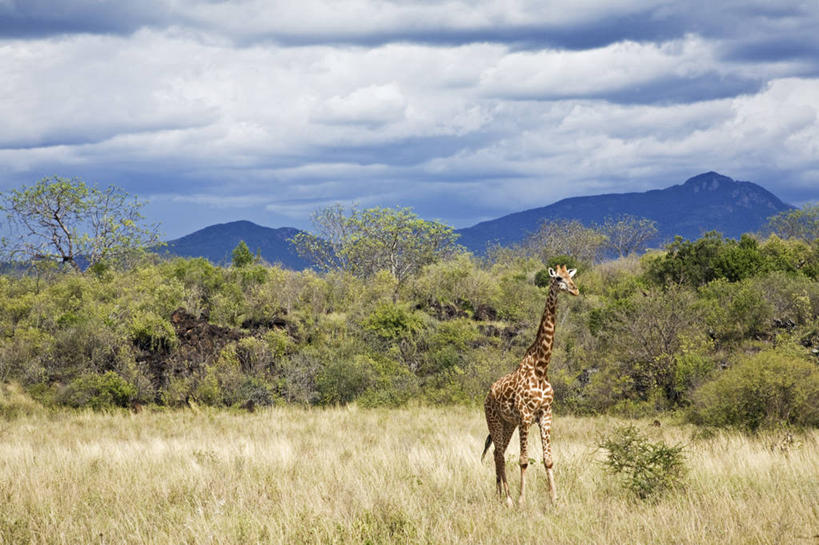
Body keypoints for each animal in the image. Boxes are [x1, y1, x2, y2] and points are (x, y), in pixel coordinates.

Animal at [484, 264, 580, 506]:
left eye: (570, 276)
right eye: (558, 279)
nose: (575, 290)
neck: (541, 368)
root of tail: (487, 395)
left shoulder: (545, 414)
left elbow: (548, 459)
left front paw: (554, 499)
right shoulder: (526, 416)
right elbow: (524, 460)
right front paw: (521, 500)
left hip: (508, 423)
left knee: (497, 453)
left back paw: (499, 495)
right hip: (494, 420)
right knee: (500, 454)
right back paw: (508, 499)